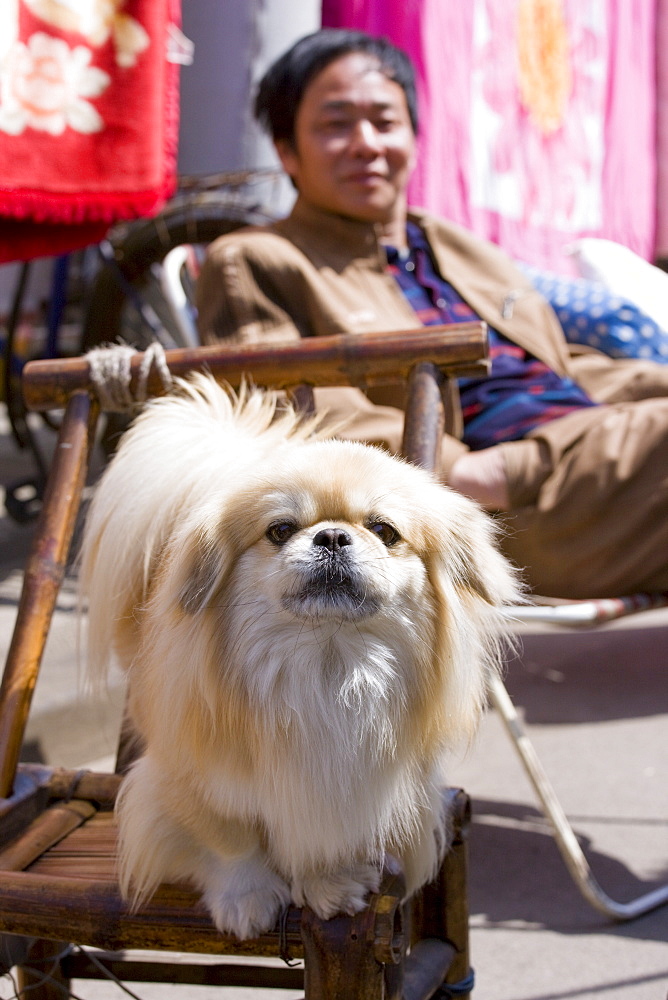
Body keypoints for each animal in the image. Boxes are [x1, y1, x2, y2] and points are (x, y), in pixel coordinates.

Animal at [79, 374, 520, 936]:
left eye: (384, 530)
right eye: (280, 530)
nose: (331, 534)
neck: (327, 667)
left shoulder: (344, 792)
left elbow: (322, 838)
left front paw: (330, 884)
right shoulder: (192, 779)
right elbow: (231, 843)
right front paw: (247, 899)